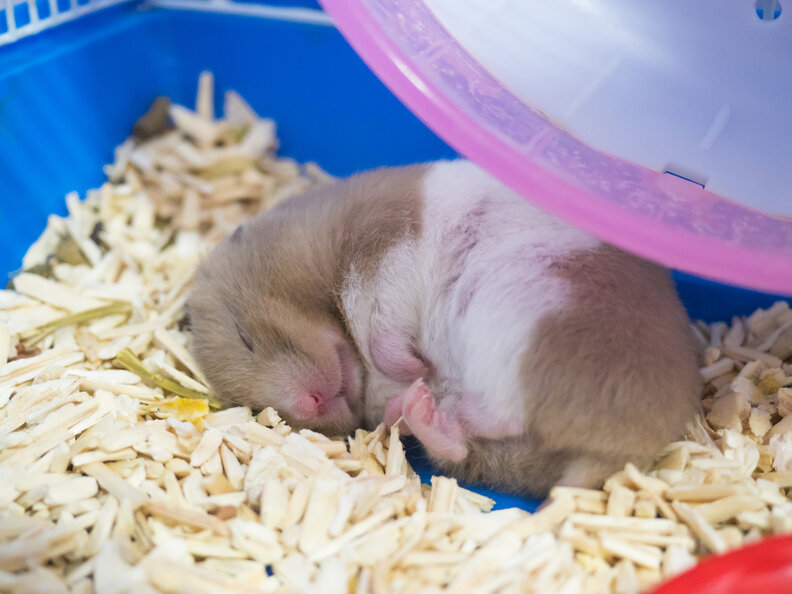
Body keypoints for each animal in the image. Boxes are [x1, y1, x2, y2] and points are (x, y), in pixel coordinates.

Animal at [187, 160, 702, 496]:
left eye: (245, 336)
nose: (310, 404)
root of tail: (623, 454)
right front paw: (408, 383)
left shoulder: (380, 248)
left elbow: (381, 323)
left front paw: (411, 364)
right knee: (467, 443)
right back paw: (416, 408)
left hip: (518, 307)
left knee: (502, 411)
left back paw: (418, 393)